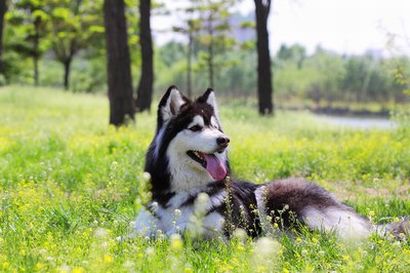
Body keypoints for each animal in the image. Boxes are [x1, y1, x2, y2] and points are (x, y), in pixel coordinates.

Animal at [134, 85, 406, 238]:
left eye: (215, 127)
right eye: (196, 127)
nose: (225, 140)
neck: (186, 190)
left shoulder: (228, 233)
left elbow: (181, 232)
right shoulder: (142, 226)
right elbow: (137, 235)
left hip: (283, 200)